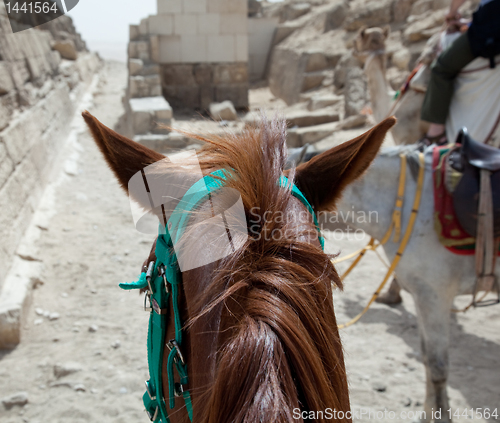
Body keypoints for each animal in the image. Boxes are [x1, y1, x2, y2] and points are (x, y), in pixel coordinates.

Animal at [334, 145, 498, 420]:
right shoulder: (421, 296)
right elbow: (425, 358)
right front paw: (428, 414)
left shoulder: (435, 296)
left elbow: (437, 365)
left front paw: (441, 417)